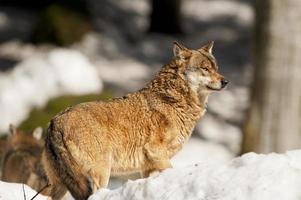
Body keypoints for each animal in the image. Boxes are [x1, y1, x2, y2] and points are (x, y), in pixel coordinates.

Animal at [43, 41, 229, 199]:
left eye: (216, 68)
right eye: (205, 69)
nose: (226, 81)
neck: (175, 99)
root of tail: (55, 122)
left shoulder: (147, 167)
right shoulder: (156, 152)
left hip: (60, 185)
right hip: (101, 174)